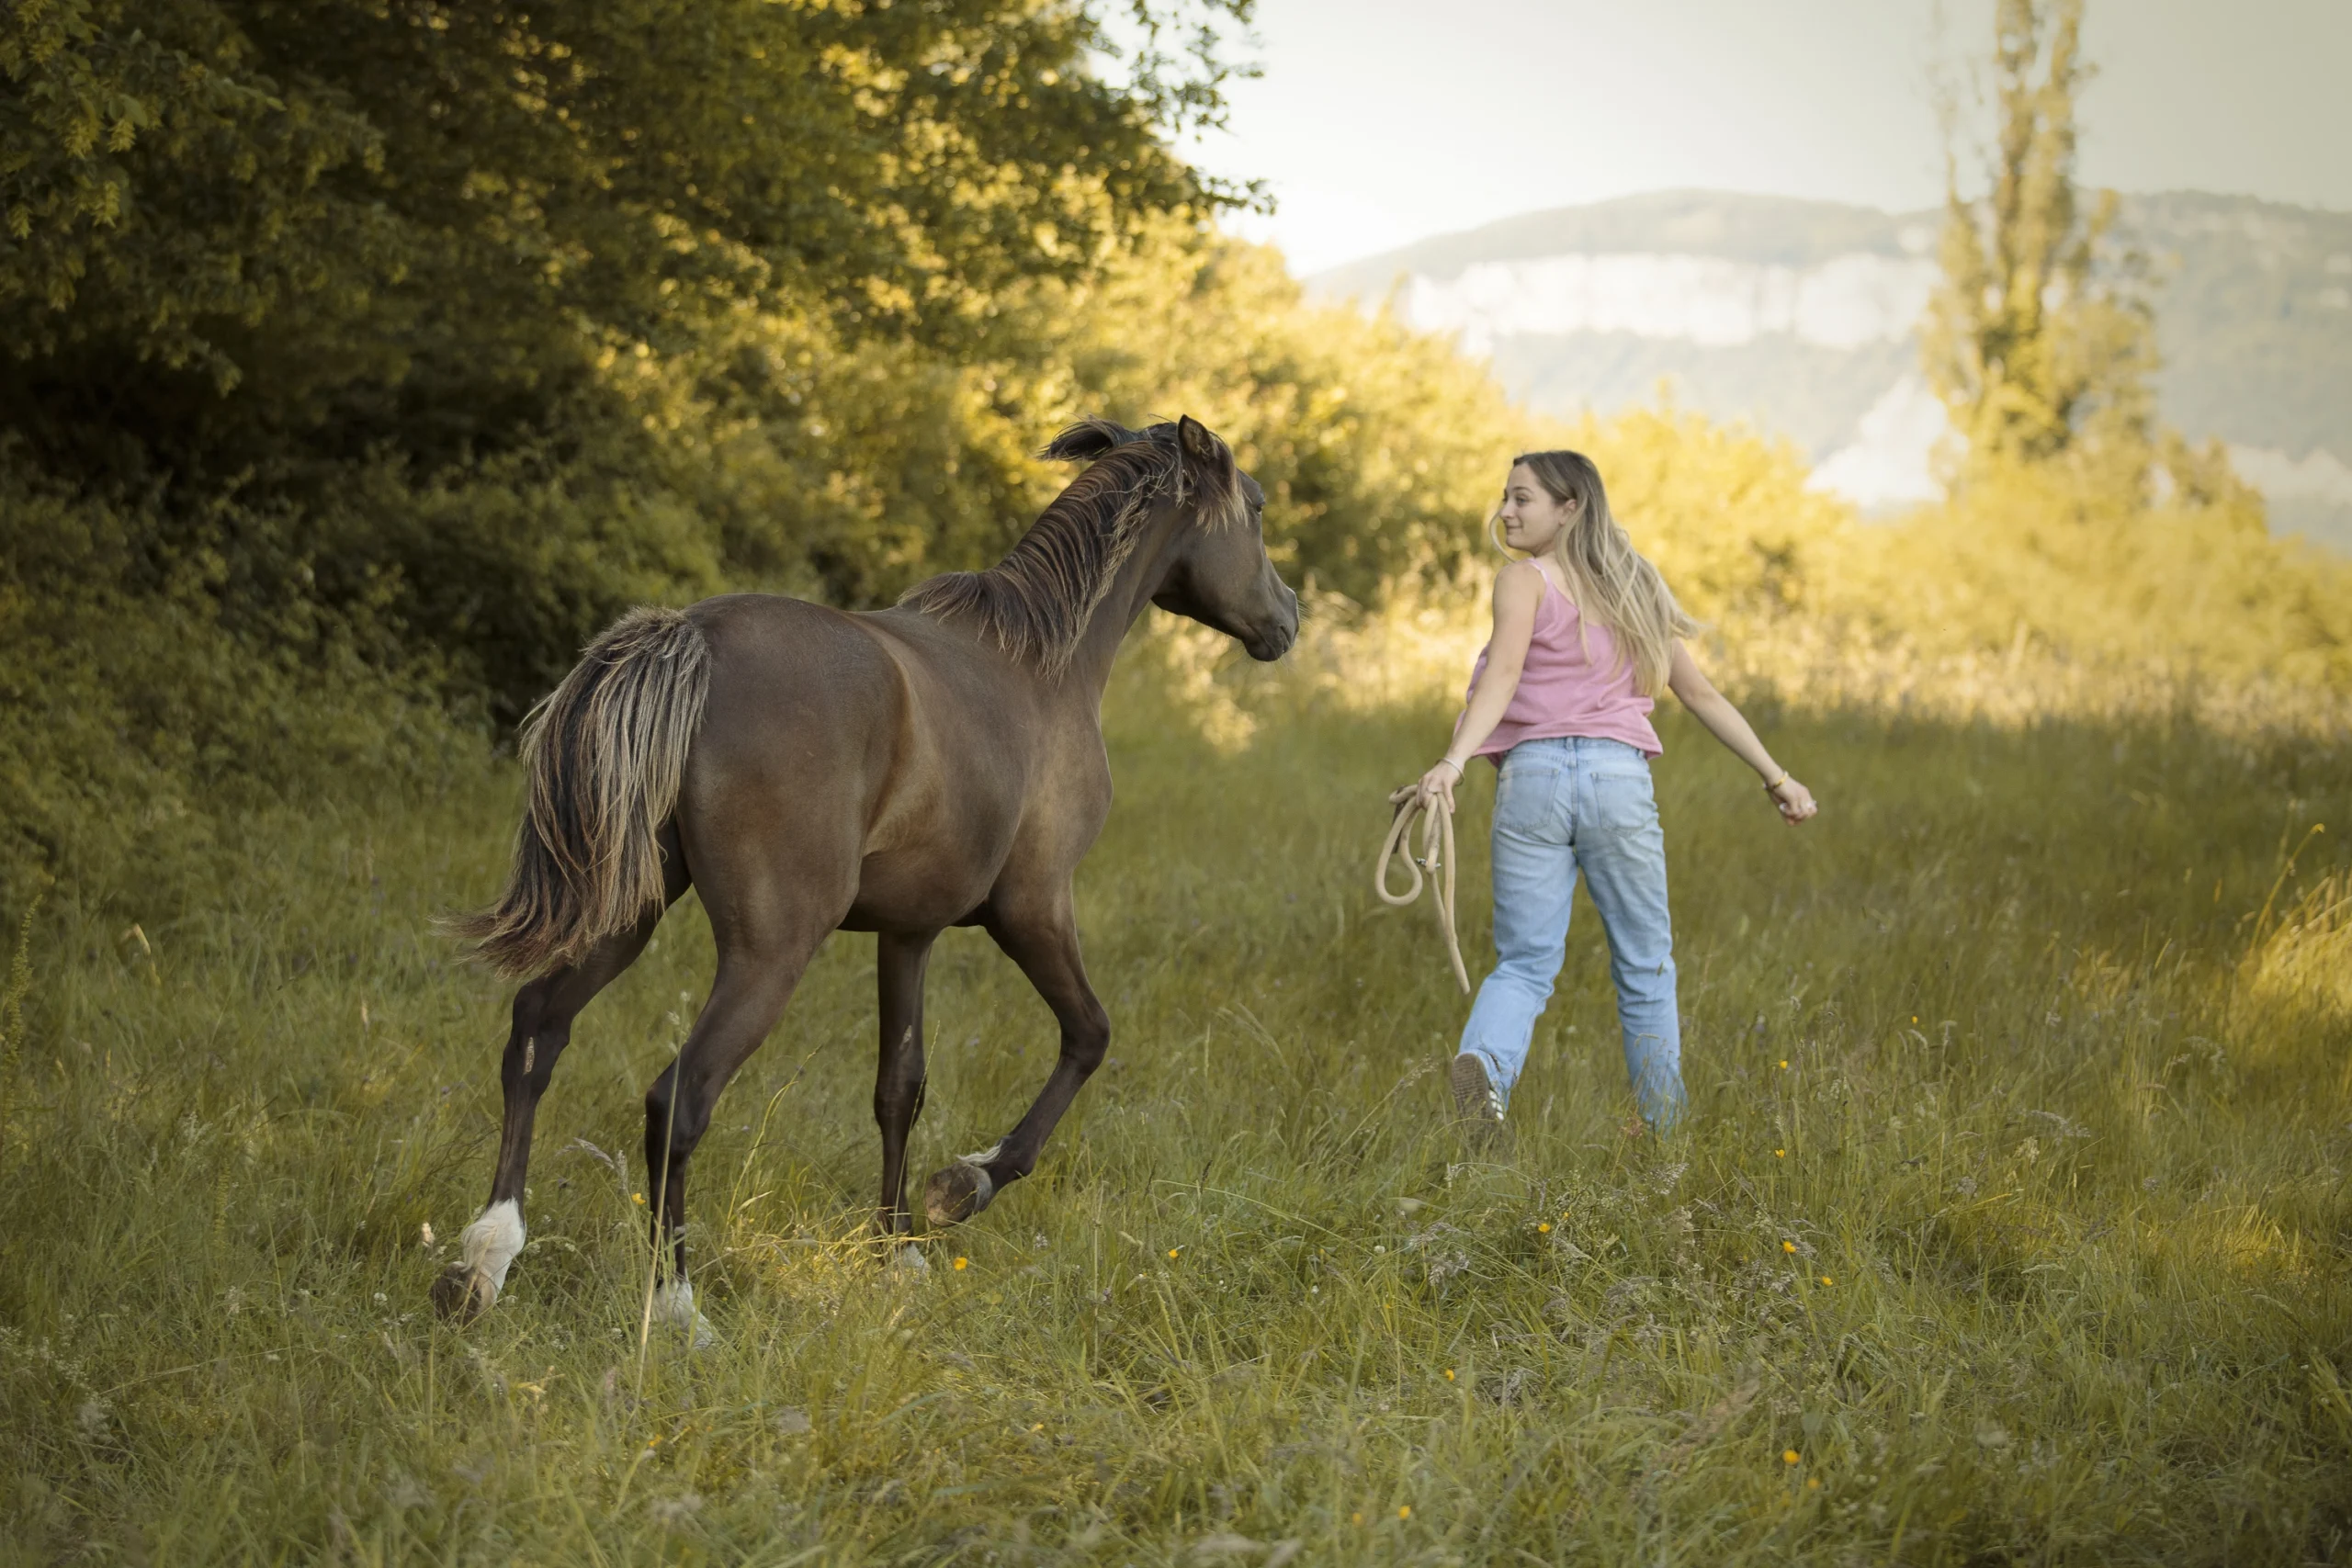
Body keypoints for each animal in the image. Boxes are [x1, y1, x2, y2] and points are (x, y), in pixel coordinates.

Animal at [429, 415, 1299, 1329]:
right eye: (1258, 508)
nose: (1288, 618)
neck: (1040, 667)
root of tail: (690, 638)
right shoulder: (1034, 907)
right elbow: (1089, 1034)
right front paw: (964, 1185)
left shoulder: (908, 933)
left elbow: (899, 1087)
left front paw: (897, 1249)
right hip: (769, 952)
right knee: (678, 1099)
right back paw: (678, 1307)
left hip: (630, 912)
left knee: (537, 1033)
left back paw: (481, 1262)